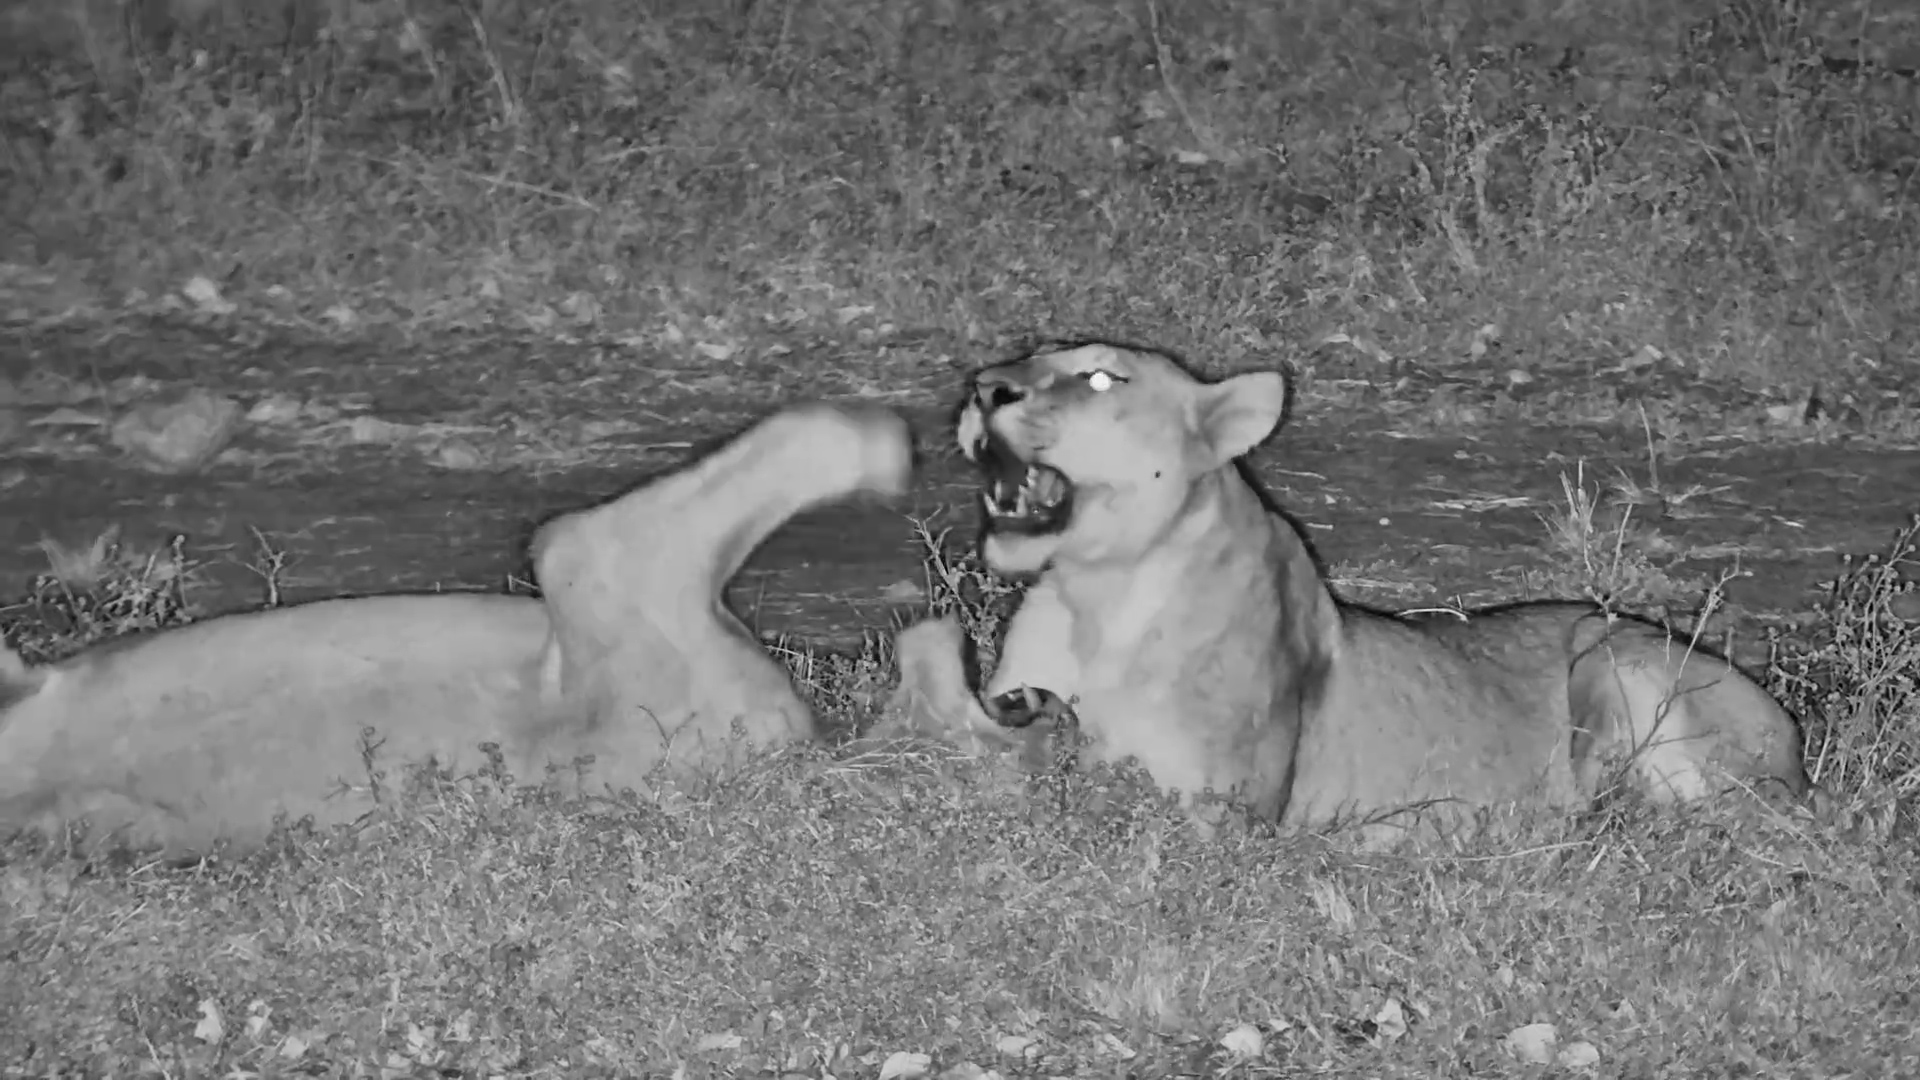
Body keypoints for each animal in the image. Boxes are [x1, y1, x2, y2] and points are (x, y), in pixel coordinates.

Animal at [892, 342, 1811, 829]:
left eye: (1098, 378)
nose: (984, 389)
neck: (1097, 594)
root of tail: (1800, 751)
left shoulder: (1222, 809)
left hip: (1609, 652)